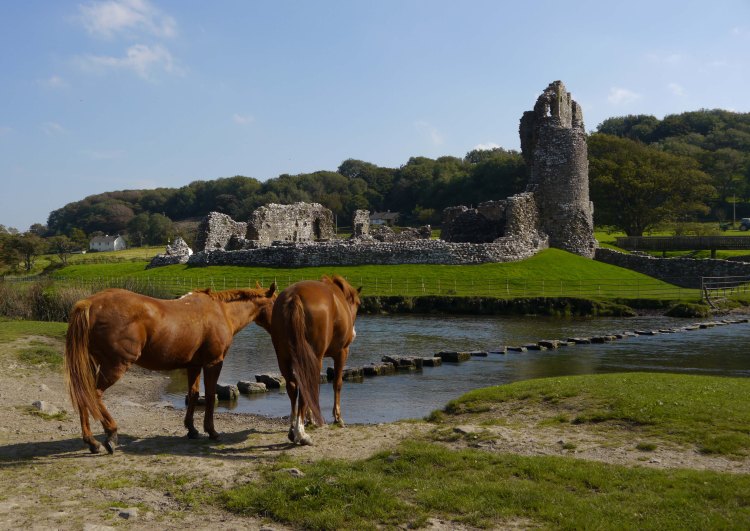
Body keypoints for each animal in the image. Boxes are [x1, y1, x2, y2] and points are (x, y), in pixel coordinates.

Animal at [64, 283, 276, 454]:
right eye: (277, 301)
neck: (221, 311)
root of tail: (90, 303)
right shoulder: (213, 363)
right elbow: (209, 396)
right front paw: (211, 431)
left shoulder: (193, 365)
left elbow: (193, 394)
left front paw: (192, 429)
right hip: (114, 366)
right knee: (94, 395)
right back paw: (111, 434)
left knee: (84, 395)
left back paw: (92, 442)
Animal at [270, 275, 361, 445]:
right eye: (358, 304)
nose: (353, 333)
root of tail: (294, 296)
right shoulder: (342, 353)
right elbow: (337, 384)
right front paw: (338, 418)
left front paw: (310, 419)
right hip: (314, 357)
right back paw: (301, 434)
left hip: (284, 358)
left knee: (293, 387)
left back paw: (293, 430)